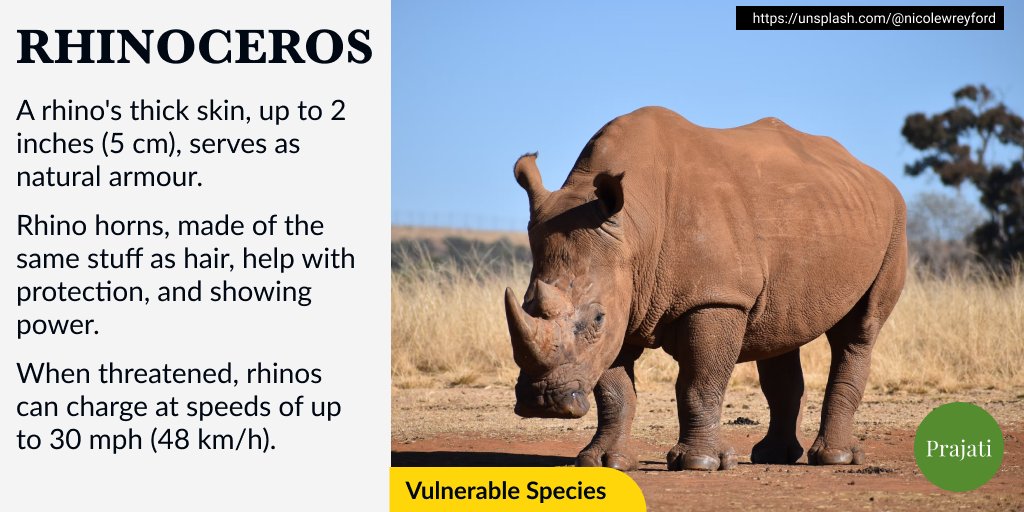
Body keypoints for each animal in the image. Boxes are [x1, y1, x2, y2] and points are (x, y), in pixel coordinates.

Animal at [505, 106, 906, 471]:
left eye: (597, 319)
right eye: (525, 305)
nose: (542, 402)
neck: (634, 229)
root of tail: (871, 172)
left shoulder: (716, 297)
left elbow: (698, 383)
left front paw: (700, 463)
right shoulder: (625, 296)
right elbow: (614, 391)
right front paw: (604, 462)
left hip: (894, 223)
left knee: (858, 331)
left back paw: (834, 459)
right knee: (779, 332)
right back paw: (773, 456)